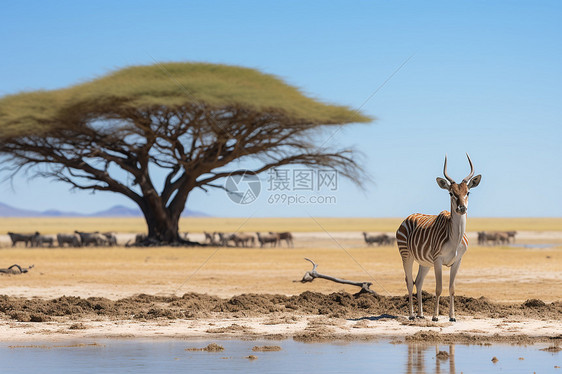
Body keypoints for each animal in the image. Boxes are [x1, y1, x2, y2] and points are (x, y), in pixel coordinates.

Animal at [396, 155, 480, 322]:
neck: (454, 240)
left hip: (424, 262)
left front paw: (452, 317)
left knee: (418, 282)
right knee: (409, 281)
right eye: (451, 193)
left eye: (468, 192)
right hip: (407, 256)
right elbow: (439, 288)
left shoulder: (457, 261)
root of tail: (408, 217)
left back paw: (421, 314)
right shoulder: (438, 260)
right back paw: (412, 315)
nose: (461, 208)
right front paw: (435, 316)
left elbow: (452, 288)